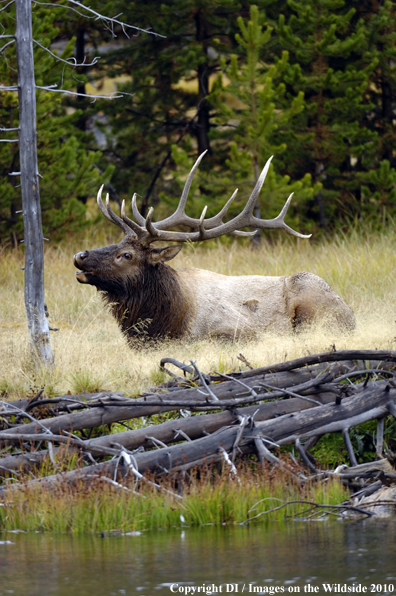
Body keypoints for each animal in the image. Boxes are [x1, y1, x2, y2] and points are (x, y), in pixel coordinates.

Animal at [74, 154, 356, 344]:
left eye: (126, 255)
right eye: (118, 243)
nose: (80, 255)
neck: (170, 318)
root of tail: (352, 314)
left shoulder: (237, 330)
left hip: (312, 303)